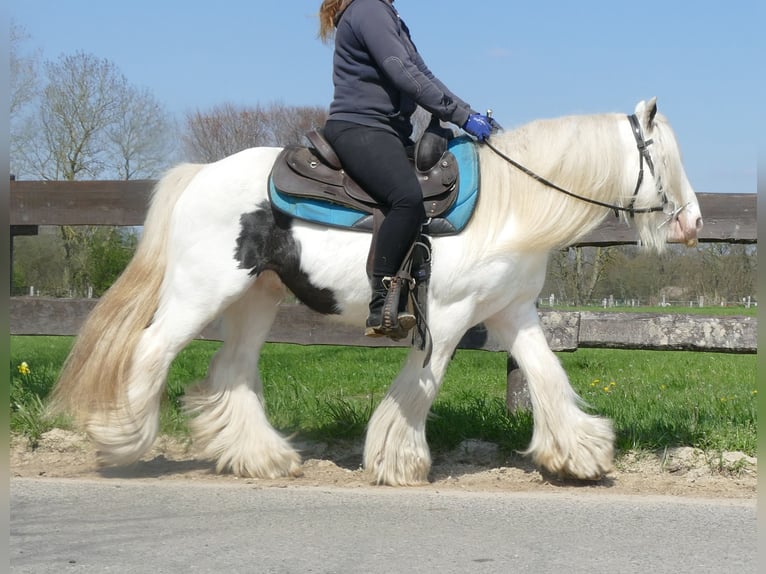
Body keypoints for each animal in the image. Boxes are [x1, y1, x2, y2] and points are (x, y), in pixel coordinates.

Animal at [51, 98, 704, 486]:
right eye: (664, 160)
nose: (693, 223)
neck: (510, 207)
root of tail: (199, 175)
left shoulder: (511, 312)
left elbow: (546, 375)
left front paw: (580, 454)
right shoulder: (446, 315)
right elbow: (423, 383)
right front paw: (398, 459)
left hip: (257, 298)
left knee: (232, 369)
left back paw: (263, 458)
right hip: (201, 293)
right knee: (151, 349)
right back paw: (120, 438)